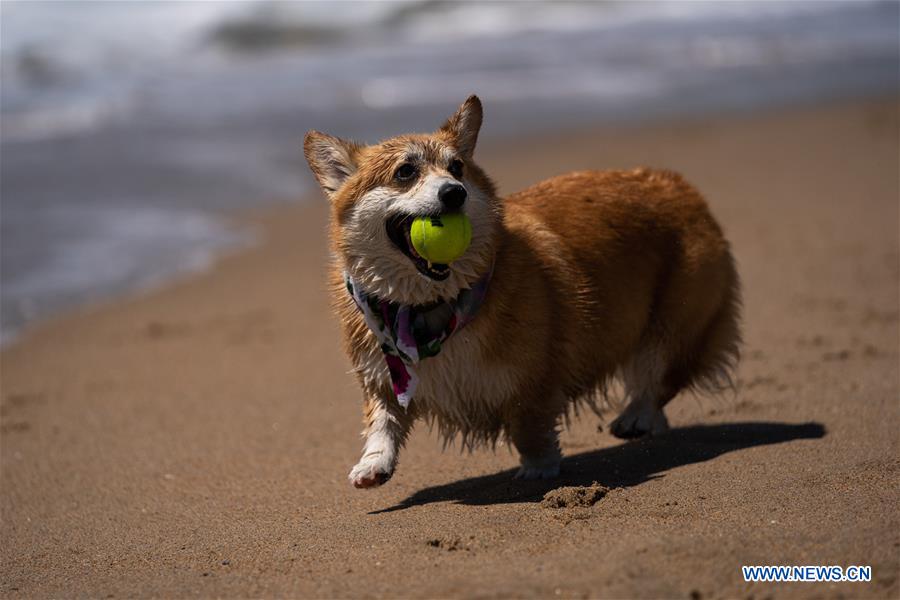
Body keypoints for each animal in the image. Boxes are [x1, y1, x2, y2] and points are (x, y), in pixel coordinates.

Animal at [302, 95, 740, 488]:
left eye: (457, 167)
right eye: (405, 172)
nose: (454, 192)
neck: (426, 306)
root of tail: (675, 184)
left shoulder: (535, 376)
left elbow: (529, 425)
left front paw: (539, 467)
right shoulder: (383, 374)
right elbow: (383, 422)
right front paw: (373, 465)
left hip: (675, 323)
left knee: (658, 374)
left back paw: (638, 417)